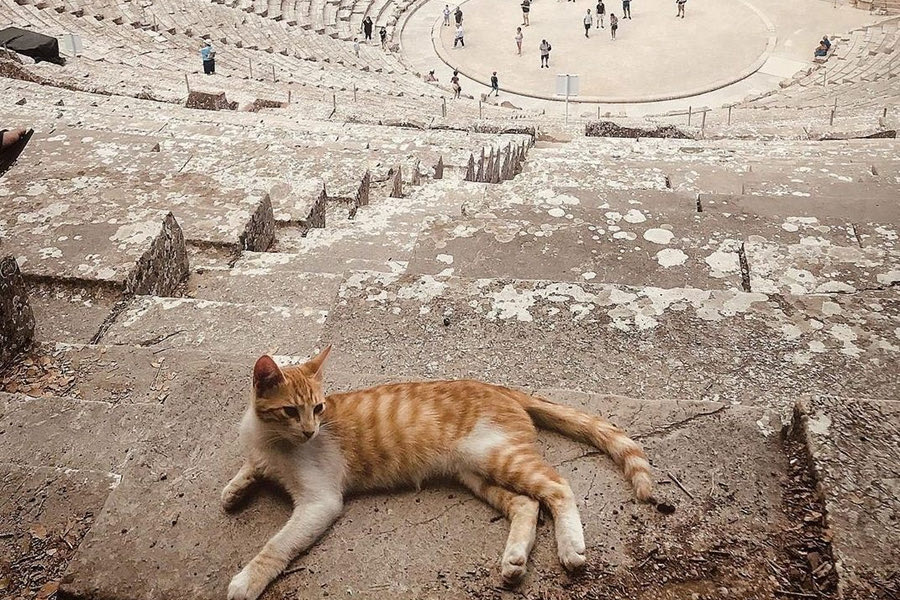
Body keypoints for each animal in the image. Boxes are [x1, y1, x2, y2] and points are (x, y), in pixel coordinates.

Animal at [221, 344, 652, 596]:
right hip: (478, 473)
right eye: (291, 411)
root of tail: (500, 388)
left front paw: (246, 582)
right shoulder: (261, 454)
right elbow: (249, 467)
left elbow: (276, 546)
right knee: (527, 504)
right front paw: (235, 489)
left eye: (319, 407)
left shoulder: (319, 502)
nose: (312, 430)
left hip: (498, 456)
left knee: (559, 487)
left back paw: (570, 547)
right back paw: (514, 560)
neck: (271, 440)